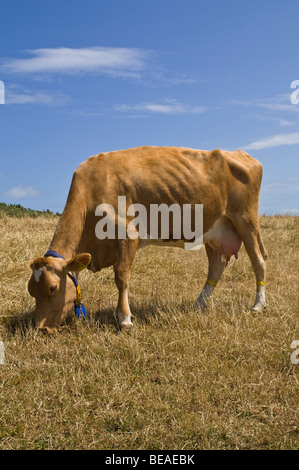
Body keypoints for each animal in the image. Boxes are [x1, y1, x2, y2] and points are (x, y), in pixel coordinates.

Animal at [27, 145, 268, 332]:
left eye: (52, 288)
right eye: (31, 291)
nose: (41, 329)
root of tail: (241, 154)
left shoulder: (128, 234)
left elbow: (121, 277)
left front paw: (125, 319)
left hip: (246, 220)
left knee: (259, 260)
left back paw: (258, 305)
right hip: (214, 230)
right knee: (216, 267)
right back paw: (198, 305)